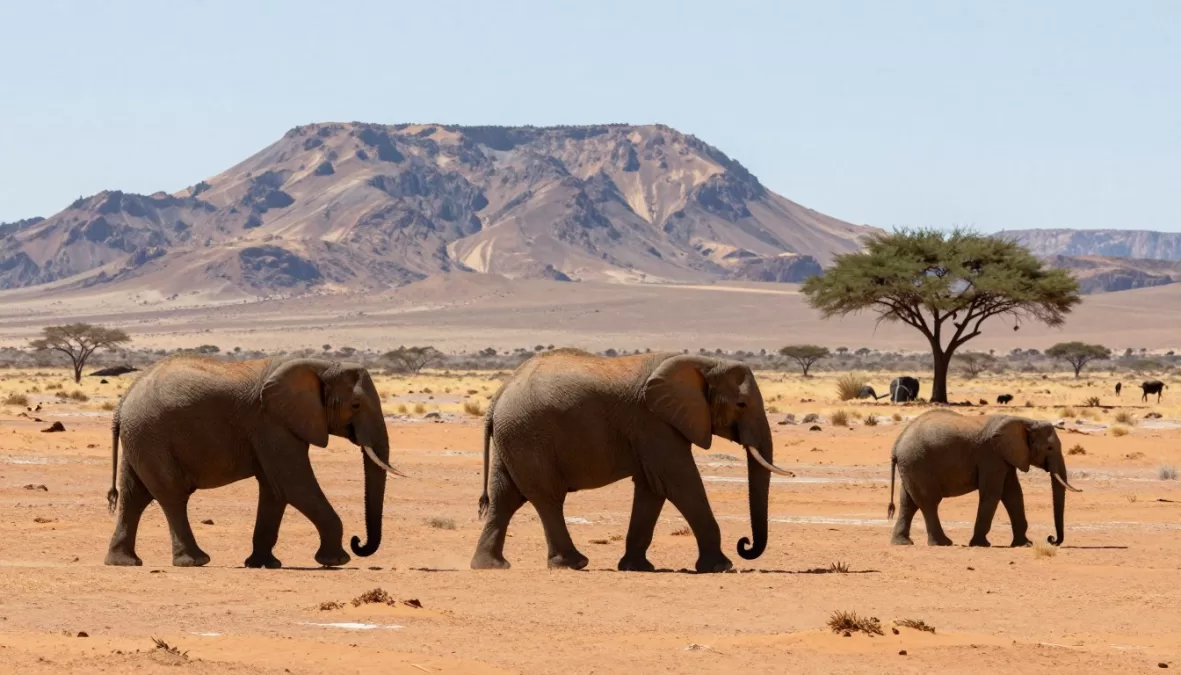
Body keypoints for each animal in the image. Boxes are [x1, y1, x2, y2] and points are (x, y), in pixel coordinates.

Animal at [104, 356, 402, 568]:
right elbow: (294, 485)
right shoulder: (272, 423)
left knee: (134, 496)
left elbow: (275, 489)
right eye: (355, 405)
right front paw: (336, 561)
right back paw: (196, 561)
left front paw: (263, 564)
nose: (358, 542)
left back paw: (125, 562)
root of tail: (122, 404)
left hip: (140, 439)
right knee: (172, 496)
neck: (321, 366)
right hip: (151, 436)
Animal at [470, 349, 793, 573]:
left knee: (505, 497)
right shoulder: (654, 422)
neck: (704, 363)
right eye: (741, 404)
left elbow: (652, 487)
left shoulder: (653, 428)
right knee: (547, 498)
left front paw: (637, 567)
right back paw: (574, 563)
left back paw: (491, 566)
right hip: (528, 435)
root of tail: (498, 395)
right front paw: (720, 567)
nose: (745, 544)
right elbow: (679, 481)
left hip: (512, 437)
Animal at [887, 410, 1081, 547]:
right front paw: (981, 544)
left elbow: (1013, 494)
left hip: (910, 466)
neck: (1025, 421)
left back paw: (903, 543)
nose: (1051, 539)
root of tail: (896, 445)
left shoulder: (1005, 457)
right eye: (1049, 448)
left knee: (908, 503)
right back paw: (943, 543)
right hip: (918, 463)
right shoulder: (992, 455)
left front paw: (1024, 544)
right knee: (929, 502)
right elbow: (992, 493)